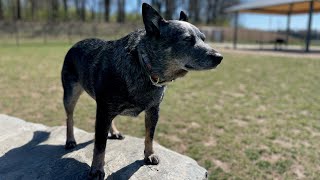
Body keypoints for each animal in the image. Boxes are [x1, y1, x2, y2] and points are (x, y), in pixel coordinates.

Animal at [61, 2, 224, 179]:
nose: (219, 57)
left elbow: (149, 135)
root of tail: (75, 44)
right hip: (70, 94)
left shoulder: (153, 110)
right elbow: (99, 145)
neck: (143, 66)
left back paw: (114, 132)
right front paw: (97, 169)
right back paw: (70, 140)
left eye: (204, 38)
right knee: (69, 117)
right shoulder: (104, 110)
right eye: (187, 39)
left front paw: (149, 155)